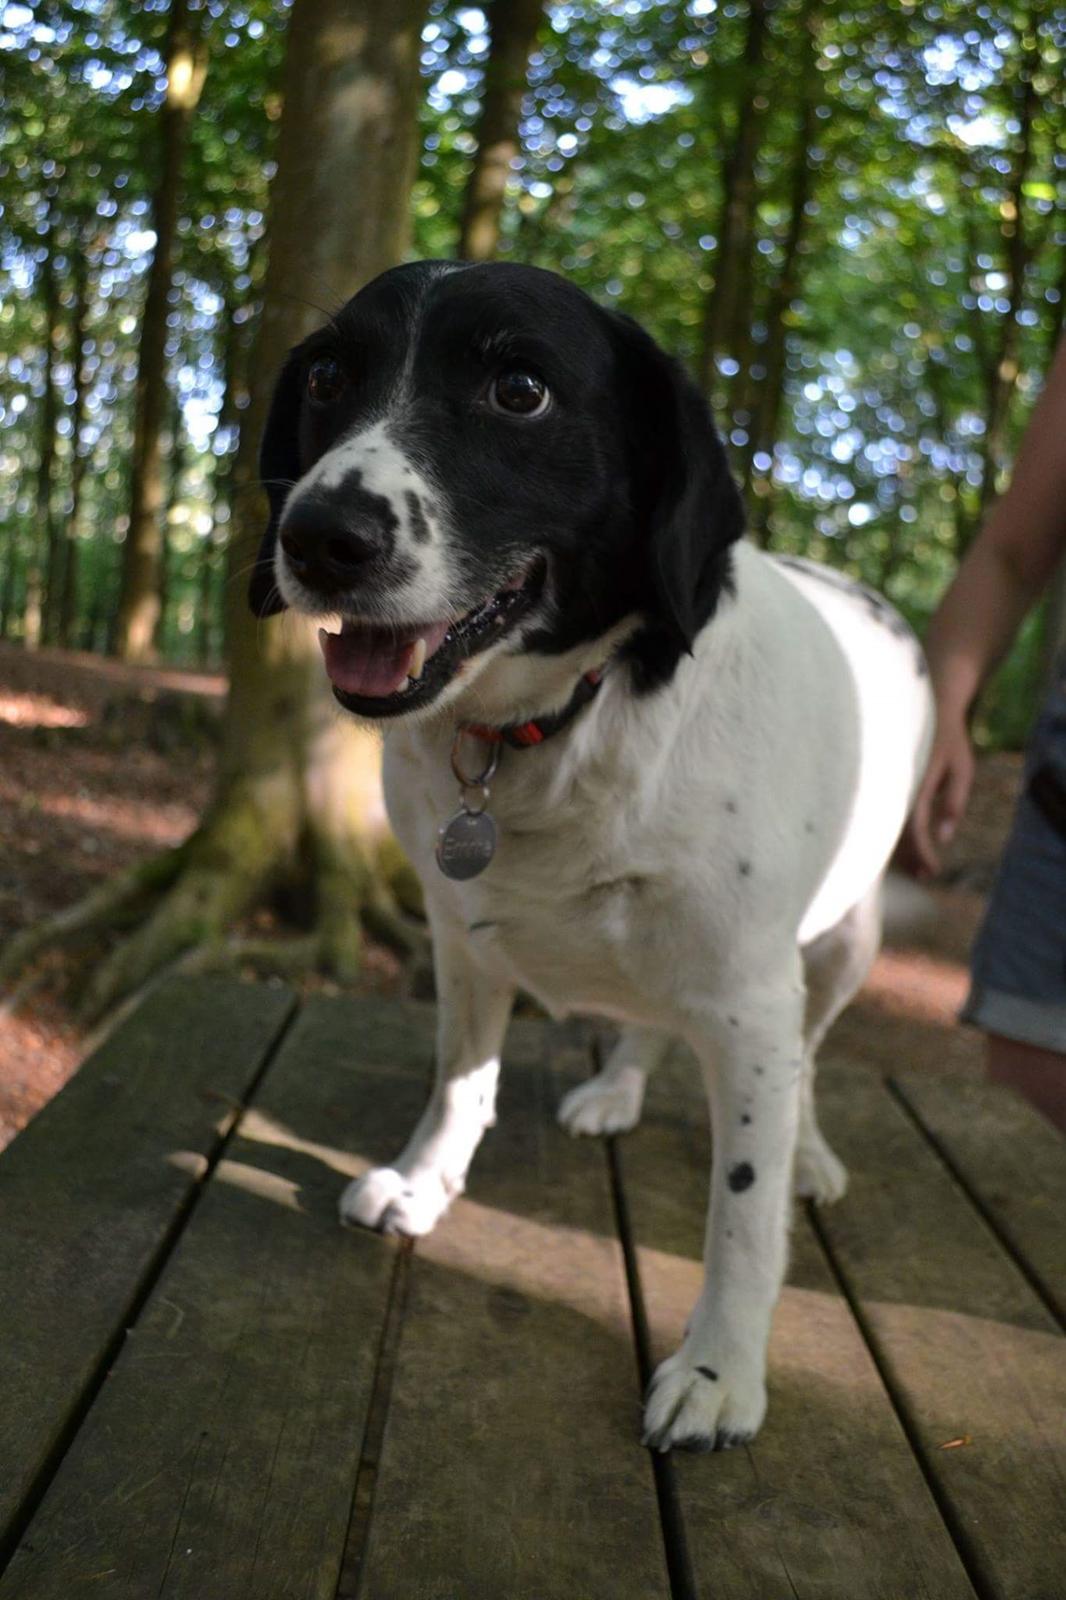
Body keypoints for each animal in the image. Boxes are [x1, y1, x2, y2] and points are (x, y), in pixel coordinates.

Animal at [249, 262, 928, 1452]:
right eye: (329, 375)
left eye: (520, 390)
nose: (319, 534)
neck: (555, 724)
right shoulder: (460, 937)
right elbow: (459, 1082)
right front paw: (424, 1182)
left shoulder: (754, 1001)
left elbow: (742, 1204)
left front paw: (719, 1367)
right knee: (651, 1021)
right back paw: (617, 1087)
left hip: (843, 944)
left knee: (811, 1059)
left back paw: (809, 1151)